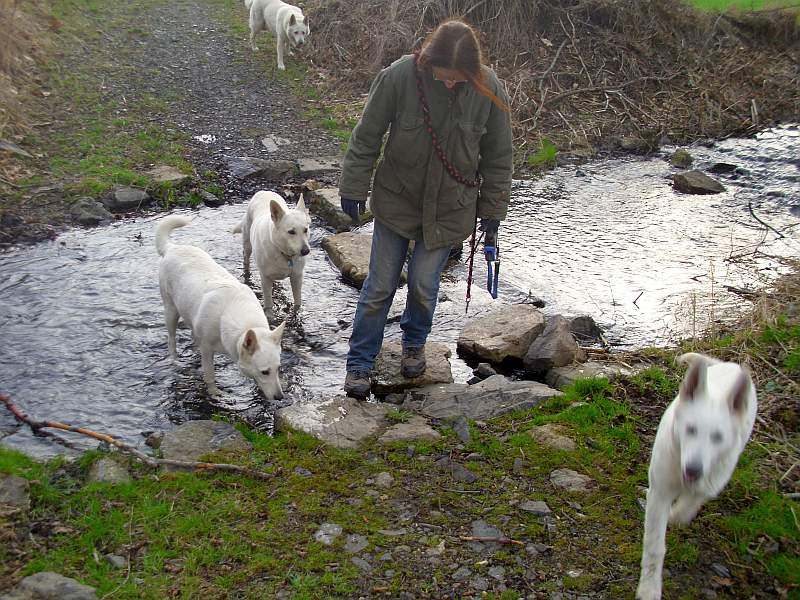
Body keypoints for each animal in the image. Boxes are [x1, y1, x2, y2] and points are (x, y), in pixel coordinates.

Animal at [155, 213, 284, 400]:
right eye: (265, 372)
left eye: (278, 369)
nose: (280, 397)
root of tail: (172, 248)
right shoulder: (207, 350)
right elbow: (209, 375)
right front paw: (214, 393)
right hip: (171, 311)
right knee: (171, 340)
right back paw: (175, 361)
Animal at [233, 192, 310, 324]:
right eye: (291, 232)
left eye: (306, 230)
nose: (306, 251)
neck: (284, 254)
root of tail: (263, 191)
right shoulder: (265, 278)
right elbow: (268, 301)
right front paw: (270, 317)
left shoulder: (297, 277)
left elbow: (297, 300)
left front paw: (296, 314)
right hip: (247, 244)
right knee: (246, 259)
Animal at [636, 352, 756, 600]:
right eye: (690, 429)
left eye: (718, 437)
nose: (693, 470)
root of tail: (728, 365)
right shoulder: (660, 491)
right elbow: (654, 545)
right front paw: (649, 588)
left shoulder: (709, 483)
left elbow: (687, 507)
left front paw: (674, 514)